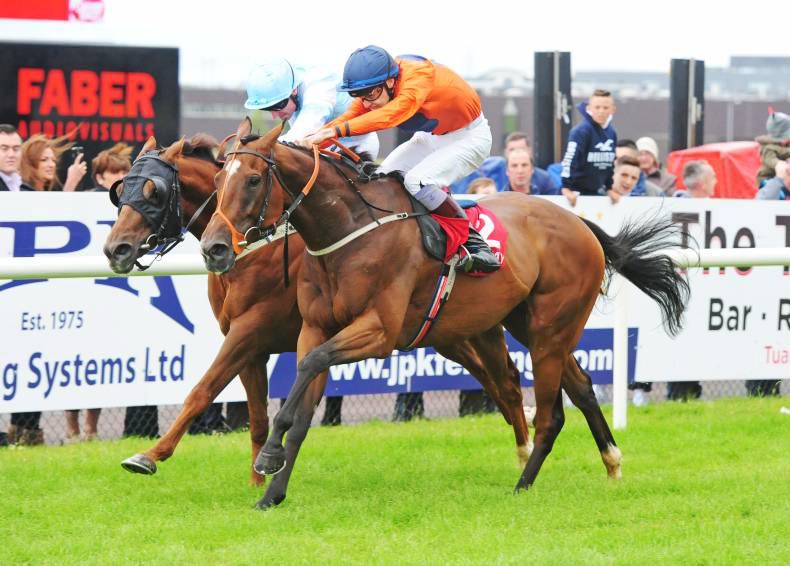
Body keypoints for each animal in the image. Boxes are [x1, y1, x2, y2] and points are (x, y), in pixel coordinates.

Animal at [103, 133, 543, 509]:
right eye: (119, 191)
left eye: (154, 192)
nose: (115, 249)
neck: (255, 248)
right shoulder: (252, 346)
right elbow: (257, 418)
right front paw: (259, 479)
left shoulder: (249, 332)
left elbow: (202, 390)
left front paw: (149, 454)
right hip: (455, 334)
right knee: (503, 386)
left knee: (506, 385)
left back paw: (526, 453)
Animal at [199, 119, 689, 504]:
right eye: (219, 181)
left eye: (253, 181)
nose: (213, 248)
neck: (350, 230)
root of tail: (580, 224)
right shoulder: (316, 328)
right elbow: (303, 403)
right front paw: (272, 490)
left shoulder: (379, 332)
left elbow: (308, 372)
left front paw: (268, 455)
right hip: (532, 327)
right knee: (583, 387)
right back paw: (611, 461)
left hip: (551, 329)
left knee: (551, 415)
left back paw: (523, 484)